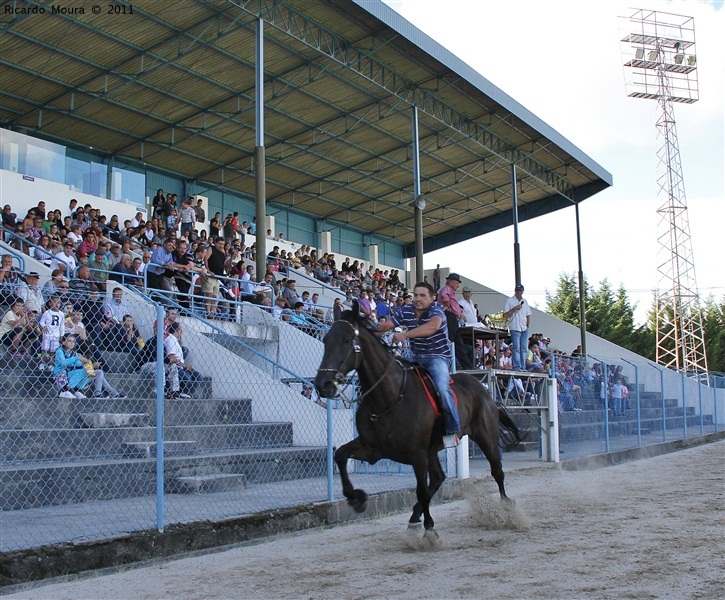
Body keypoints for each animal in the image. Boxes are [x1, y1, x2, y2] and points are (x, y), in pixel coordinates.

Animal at [314, 308, 516, 536]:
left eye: (347, 340)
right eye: (326, 339)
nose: (322, 384)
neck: (389, 397)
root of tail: (483, 389)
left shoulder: (417, 454)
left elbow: (420, 489)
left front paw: (430, 531)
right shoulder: (373, 448)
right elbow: (340, 455)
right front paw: (357, 498)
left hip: (485, 436)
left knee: (496, 471)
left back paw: (508, 509)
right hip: (433, 448)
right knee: (438, 478)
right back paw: (414, 515)